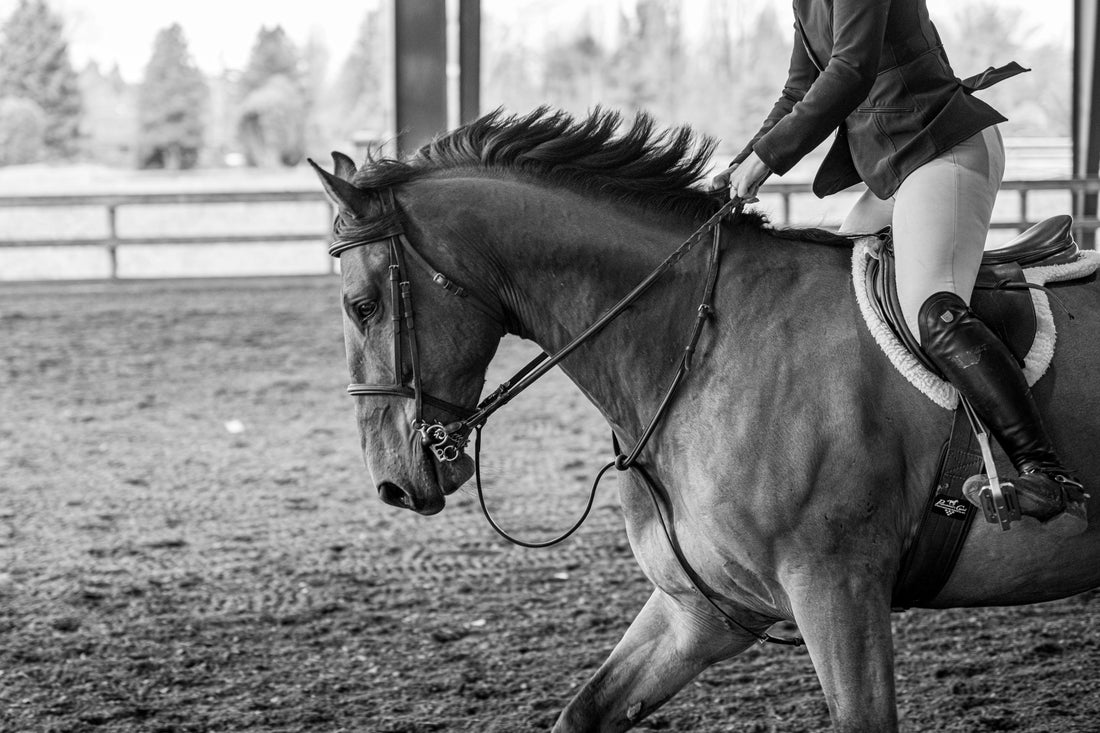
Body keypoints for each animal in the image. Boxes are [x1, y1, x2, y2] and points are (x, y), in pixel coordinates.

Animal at [309, 108, 1100, 732]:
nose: (393, 483)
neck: (697, 344)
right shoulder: (703, 608)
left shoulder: (838, 592)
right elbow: (585, 711)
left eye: (363, 306)